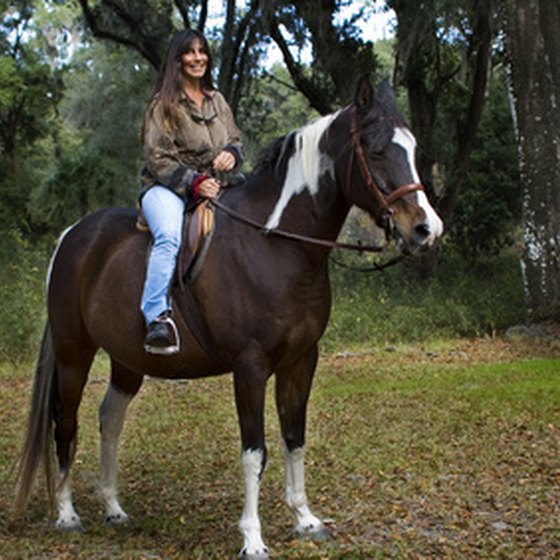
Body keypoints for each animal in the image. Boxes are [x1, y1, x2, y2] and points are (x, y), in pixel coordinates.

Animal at [14, 76, 442, 556]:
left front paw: (305, 519)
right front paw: (252, 538)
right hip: (74, 355)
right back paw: (67, 514)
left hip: (127, 359)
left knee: (110, 419)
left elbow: (294, 439)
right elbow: (254, 452)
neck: (276, 244)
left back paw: (113, 508)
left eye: (412, 146)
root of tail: (73, 235)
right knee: (64, 423)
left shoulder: (301, 361)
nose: (426, 229)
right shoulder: (250, 367)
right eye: (375, 148)